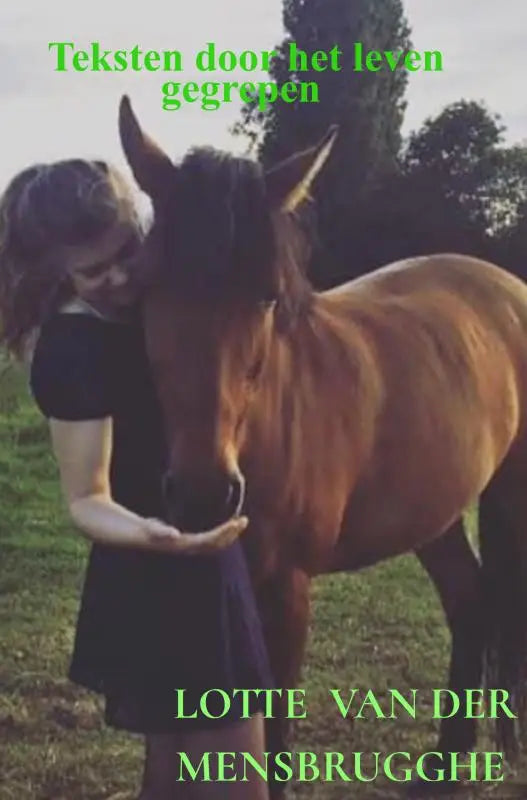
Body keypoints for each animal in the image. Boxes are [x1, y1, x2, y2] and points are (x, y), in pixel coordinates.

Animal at [119, 94, 527, 795]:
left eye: (266, 296)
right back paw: (444, 766)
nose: (204, 495)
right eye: (150, 287)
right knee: (470, 603)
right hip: (433, 510)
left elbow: (276, 738)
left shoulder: (286, 593)